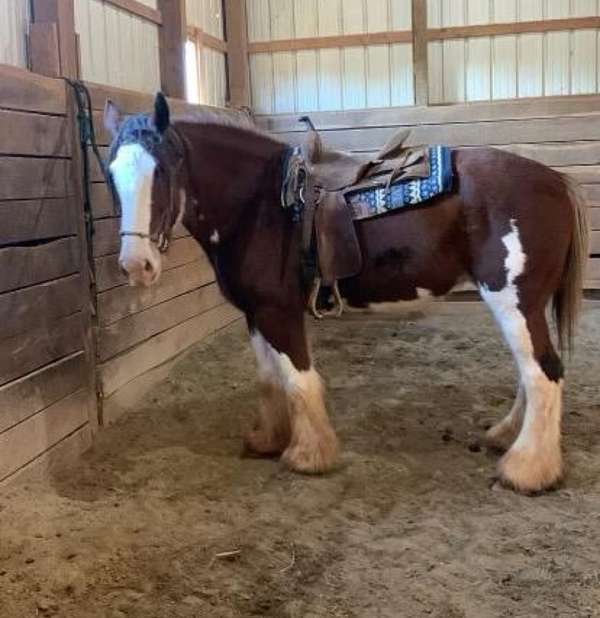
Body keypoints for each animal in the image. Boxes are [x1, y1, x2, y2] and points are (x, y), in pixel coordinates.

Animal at [103, 94, 584, 494]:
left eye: (162, 171)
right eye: (110, 174)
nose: (136, 265)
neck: (260, 205)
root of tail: (555, 181)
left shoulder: (279, 312)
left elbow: (299, 380)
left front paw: (309, 455)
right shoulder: (255, 313)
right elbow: (269, 378)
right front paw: (268, 440)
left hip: (513, 300)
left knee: (544, 372)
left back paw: (526, 470)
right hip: (522, 306)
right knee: (531, 371)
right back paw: (506, 438)